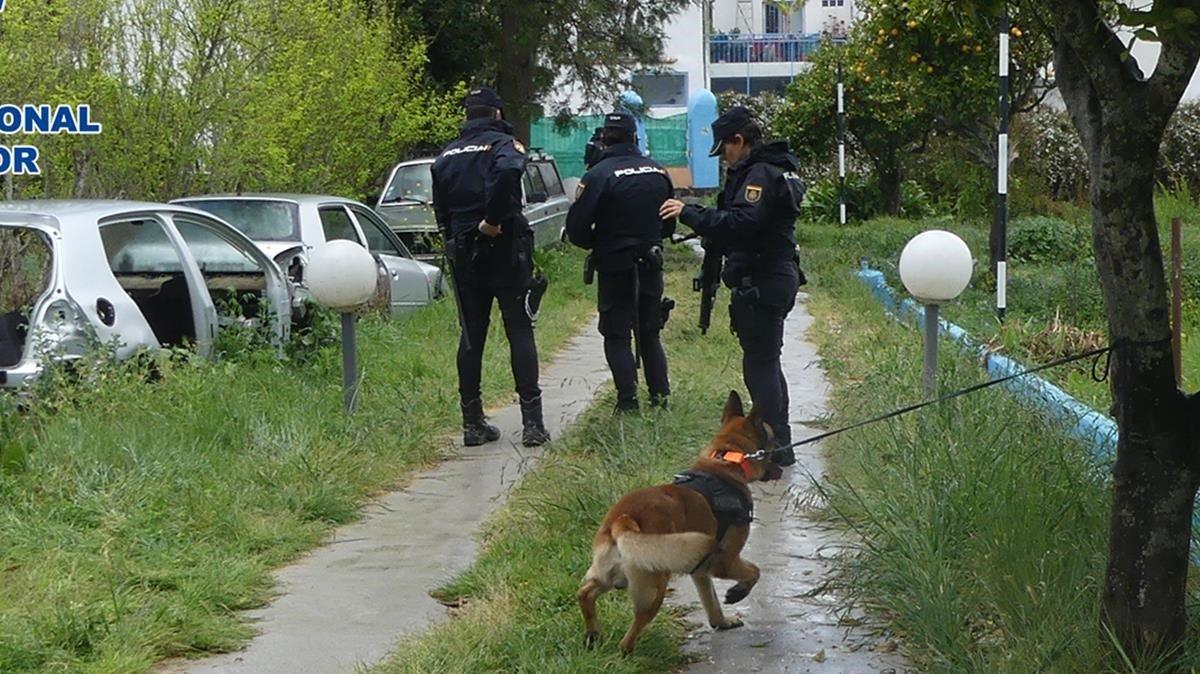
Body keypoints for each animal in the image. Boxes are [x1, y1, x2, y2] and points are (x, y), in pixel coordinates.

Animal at [576, 388, 782, 652]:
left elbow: (711, 600)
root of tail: (624, 521)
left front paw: (721, 622)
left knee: (585, 593)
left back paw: (592, 634)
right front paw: (738, 592)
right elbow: (755, 571)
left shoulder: (701, 571)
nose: (783, 460)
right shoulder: (724, 561)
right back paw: (628, 650)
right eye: (773, 440)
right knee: (628, 637)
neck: (726, 459)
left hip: (607, 576)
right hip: (654, 591)